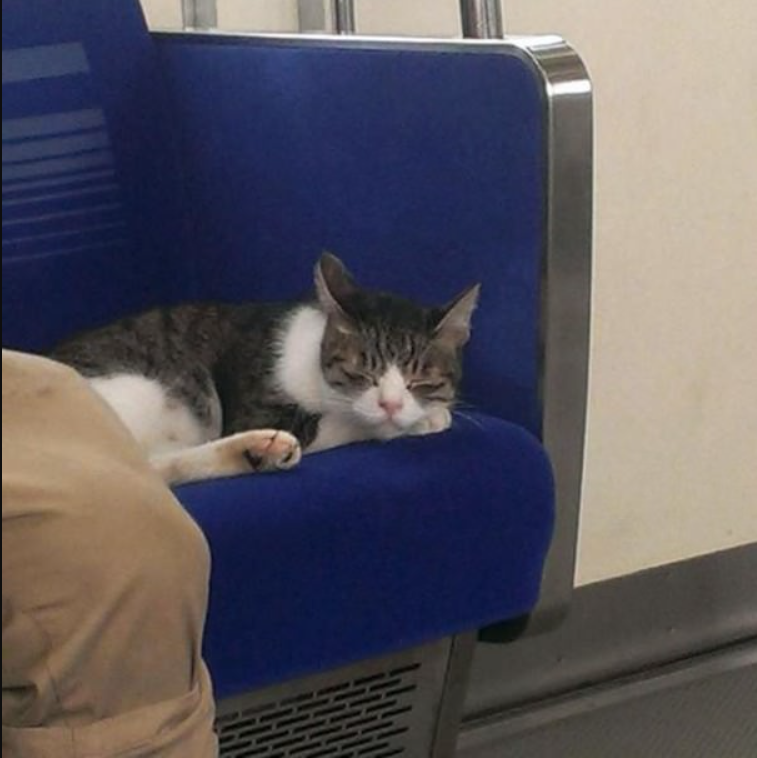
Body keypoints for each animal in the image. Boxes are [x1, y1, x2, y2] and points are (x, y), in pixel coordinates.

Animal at [51, 252, 478, 484]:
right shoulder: (258, 409)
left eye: (419, 378)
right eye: (361, 373)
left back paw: (257, 451)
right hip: (141, 392)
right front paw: (421, 419)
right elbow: (350, 422)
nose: (391, 404)